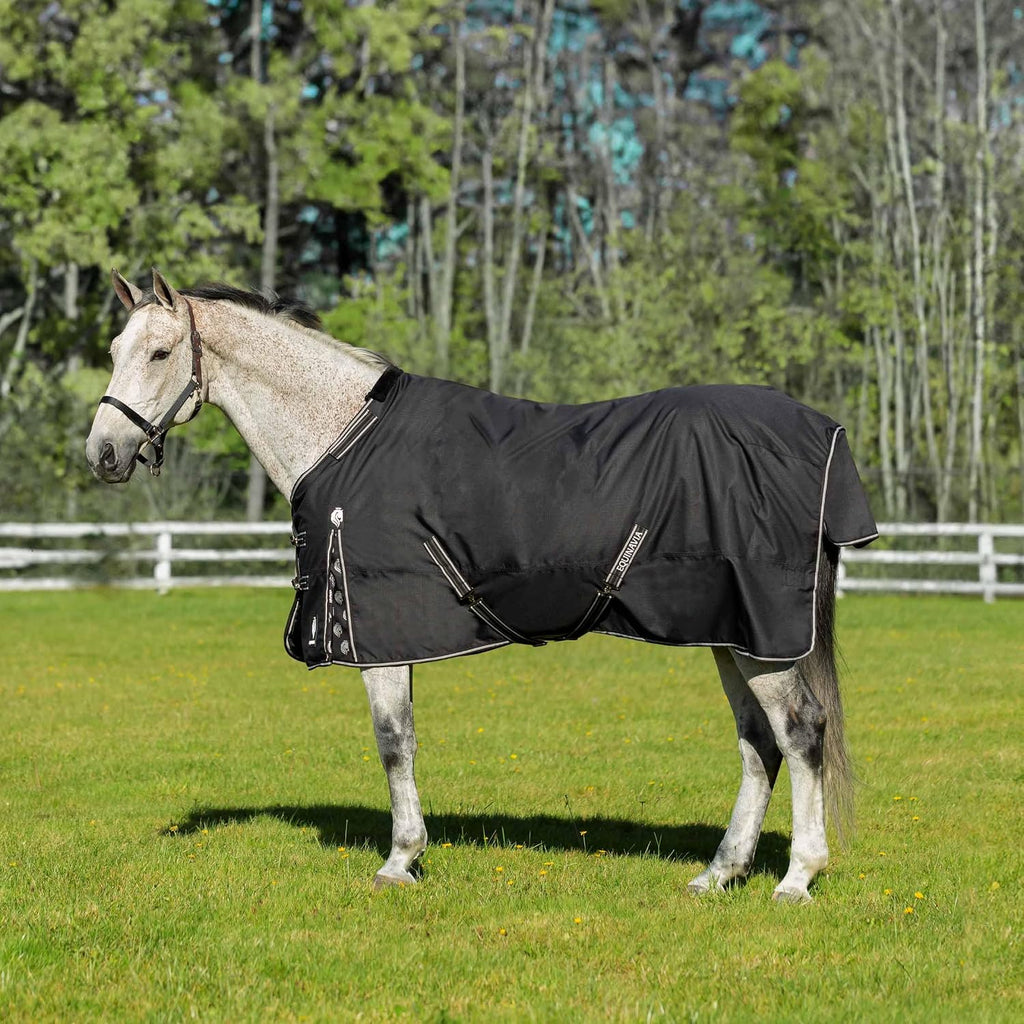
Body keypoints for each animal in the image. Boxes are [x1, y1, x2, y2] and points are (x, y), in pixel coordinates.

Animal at [87, 268, 877, 903]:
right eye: (115, 352)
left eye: (160, 354)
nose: (103, 454)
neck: (342, 433)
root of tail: (823, 432)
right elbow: (403, 740)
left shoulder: (380, 629)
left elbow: (393, 741)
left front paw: (400, 862)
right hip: (730, 632)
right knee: (758, 744)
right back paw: (720, 873)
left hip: (762, 637)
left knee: (800, 731)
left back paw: (797, 877)